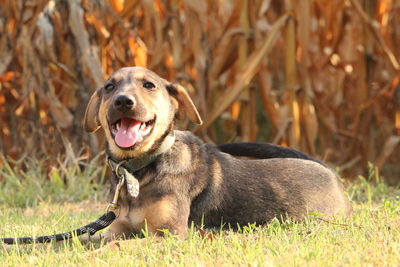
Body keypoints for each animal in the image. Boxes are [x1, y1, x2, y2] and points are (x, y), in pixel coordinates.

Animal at [83, 67, 352, 243]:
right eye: (109, 87)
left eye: (149, 85)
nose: (122, 102)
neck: (137, 169)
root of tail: (330, 173)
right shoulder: (115, 229)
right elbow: (83, 240)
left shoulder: (169, 235)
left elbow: (117, 246)